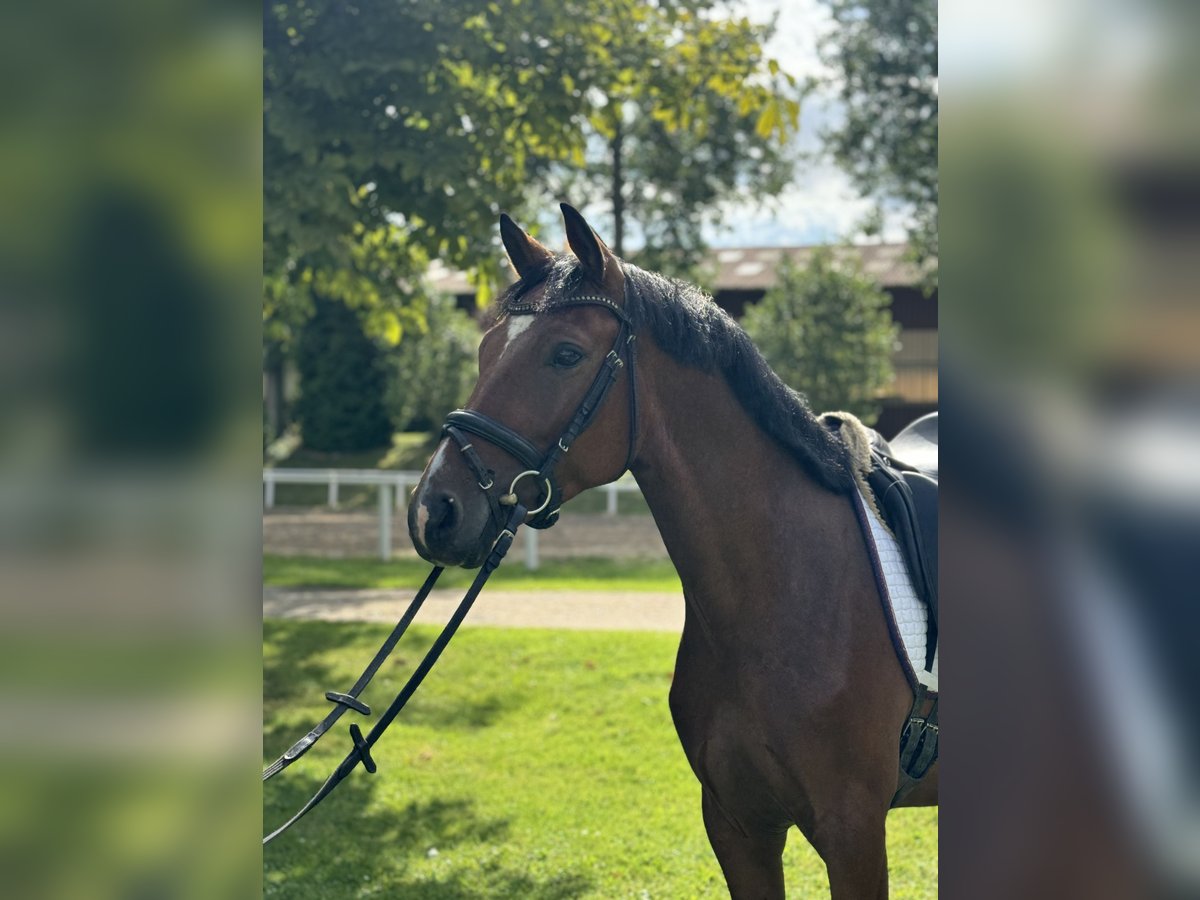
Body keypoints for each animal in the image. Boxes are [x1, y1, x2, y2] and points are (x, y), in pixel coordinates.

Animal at [412, 206, 936, 900]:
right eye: (485, 350)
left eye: (566, 354)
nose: (433, 511)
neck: (788, 591)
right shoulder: (739, 826)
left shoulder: (853, 833)